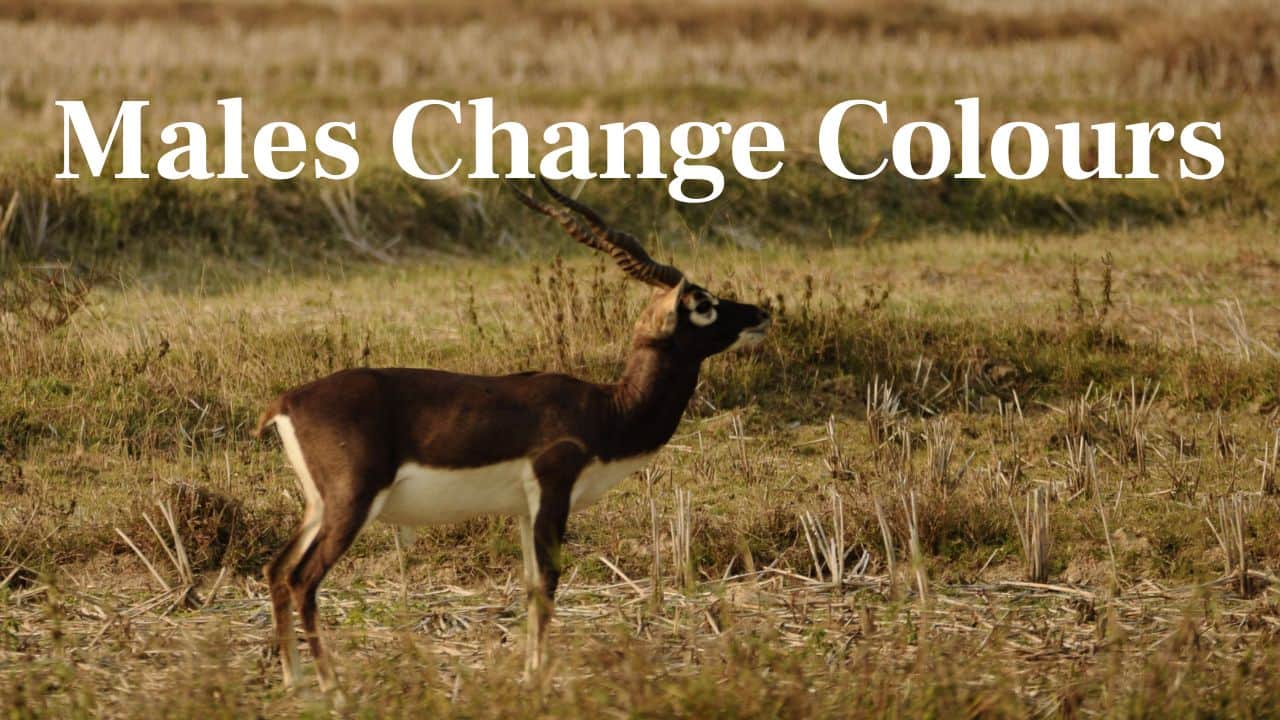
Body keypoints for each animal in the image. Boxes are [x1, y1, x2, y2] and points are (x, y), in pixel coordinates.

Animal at [254, 178, 771, 693]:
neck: (608, 408)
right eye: (702, 304)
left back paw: (294, 681)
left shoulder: (525, 509)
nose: (760, 314)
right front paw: (538, 680)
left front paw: (528, 672)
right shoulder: (553, 491)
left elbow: (528, 587)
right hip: (352, 502)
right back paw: (333, 688)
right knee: (303, 579)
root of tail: (285, 402)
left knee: (276, 570)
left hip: (319, 506)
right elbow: (547, 585)